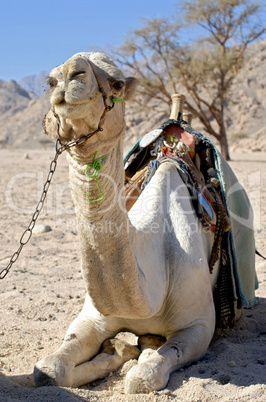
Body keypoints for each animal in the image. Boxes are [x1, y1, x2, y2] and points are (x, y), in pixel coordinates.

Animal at [33, 51, 256, 394]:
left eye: (117, 83)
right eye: (49, 81)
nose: (69, 74)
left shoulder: (199, 325)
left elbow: (142, 377)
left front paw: (136, 353)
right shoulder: (92, 318)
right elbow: (47, 370)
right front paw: (117, 351)